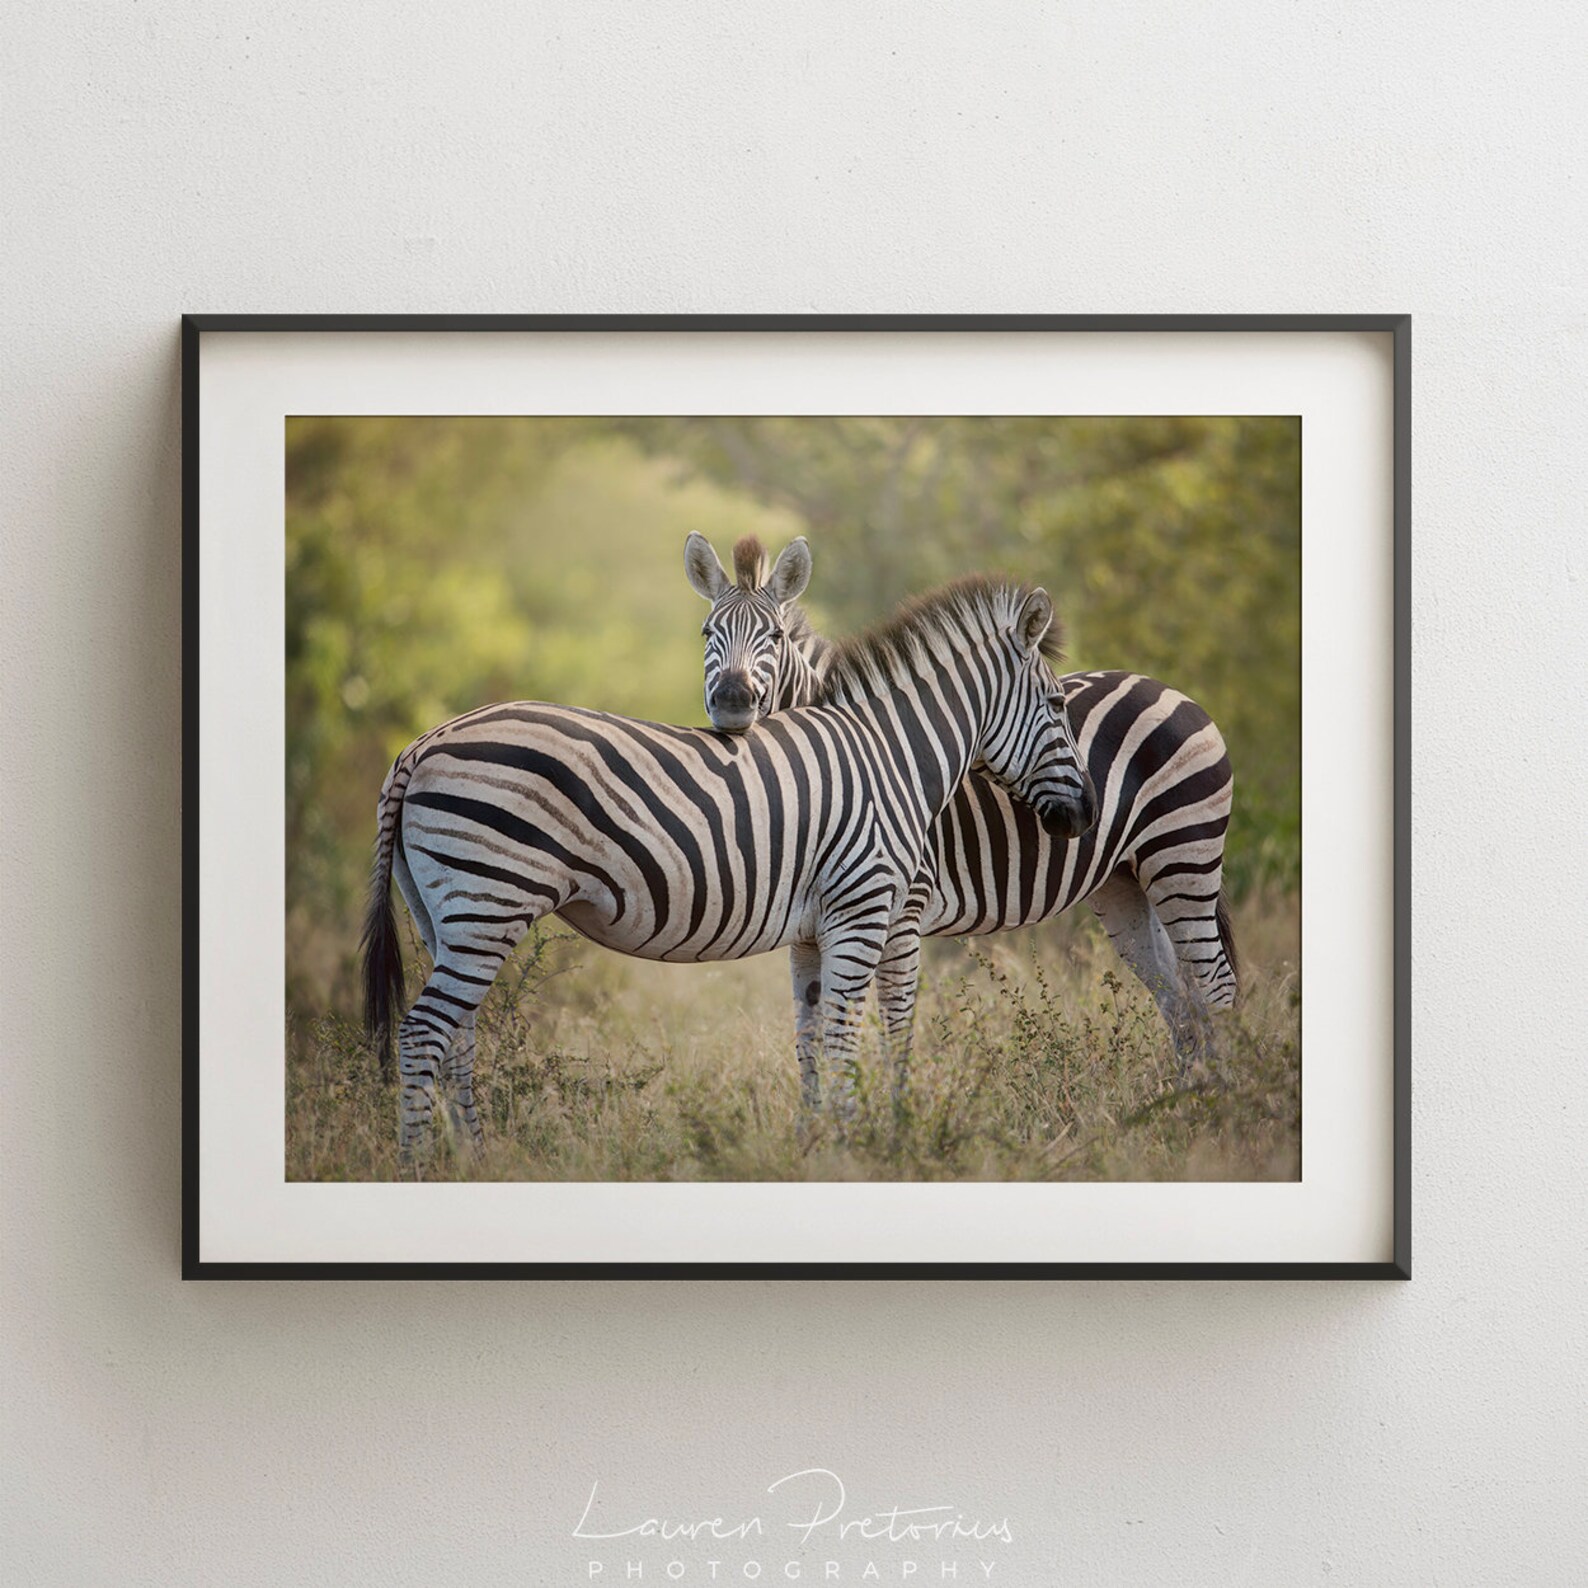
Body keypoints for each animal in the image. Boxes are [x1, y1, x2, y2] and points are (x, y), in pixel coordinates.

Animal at [365, 571, 1098, 1156]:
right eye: (1057, 705)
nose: (1087, 812)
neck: (889, 753)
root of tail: (419, 746)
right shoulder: (861, 910)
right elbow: (843, 1040)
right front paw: (854, 1149)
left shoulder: (815, 929)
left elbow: (812, 1040)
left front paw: (818, 1148)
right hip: (490, 900)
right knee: (424, 1034)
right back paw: (421, 1168)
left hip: (447, 914)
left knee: (458, 1038)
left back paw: (474, 1161)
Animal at [682, 533, 1238, 1079]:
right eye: (707, 633)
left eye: (774, 637)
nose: (732, 701)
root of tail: (1170, 689)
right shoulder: (809, 925)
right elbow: (811, 1045)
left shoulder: (900, 910)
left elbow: (893, 1035)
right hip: (1126, 882)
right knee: (1181, 999)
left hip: (1182, 854)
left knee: (1216, 988)